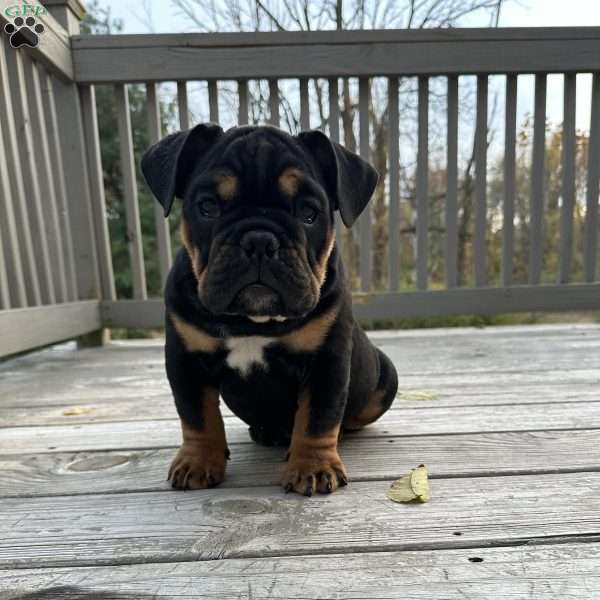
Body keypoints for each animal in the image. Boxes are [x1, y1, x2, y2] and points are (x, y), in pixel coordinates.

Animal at [141, 123, 398, 496]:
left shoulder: (327, 361)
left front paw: (313, 467)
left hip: (386, 378)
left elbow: (318, 417)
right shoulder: (185, 359)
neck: (252, 322)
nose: (259, 240)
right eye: (207, 207)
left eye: (308, 214)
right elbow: (196, 415)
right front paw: (197, 462)